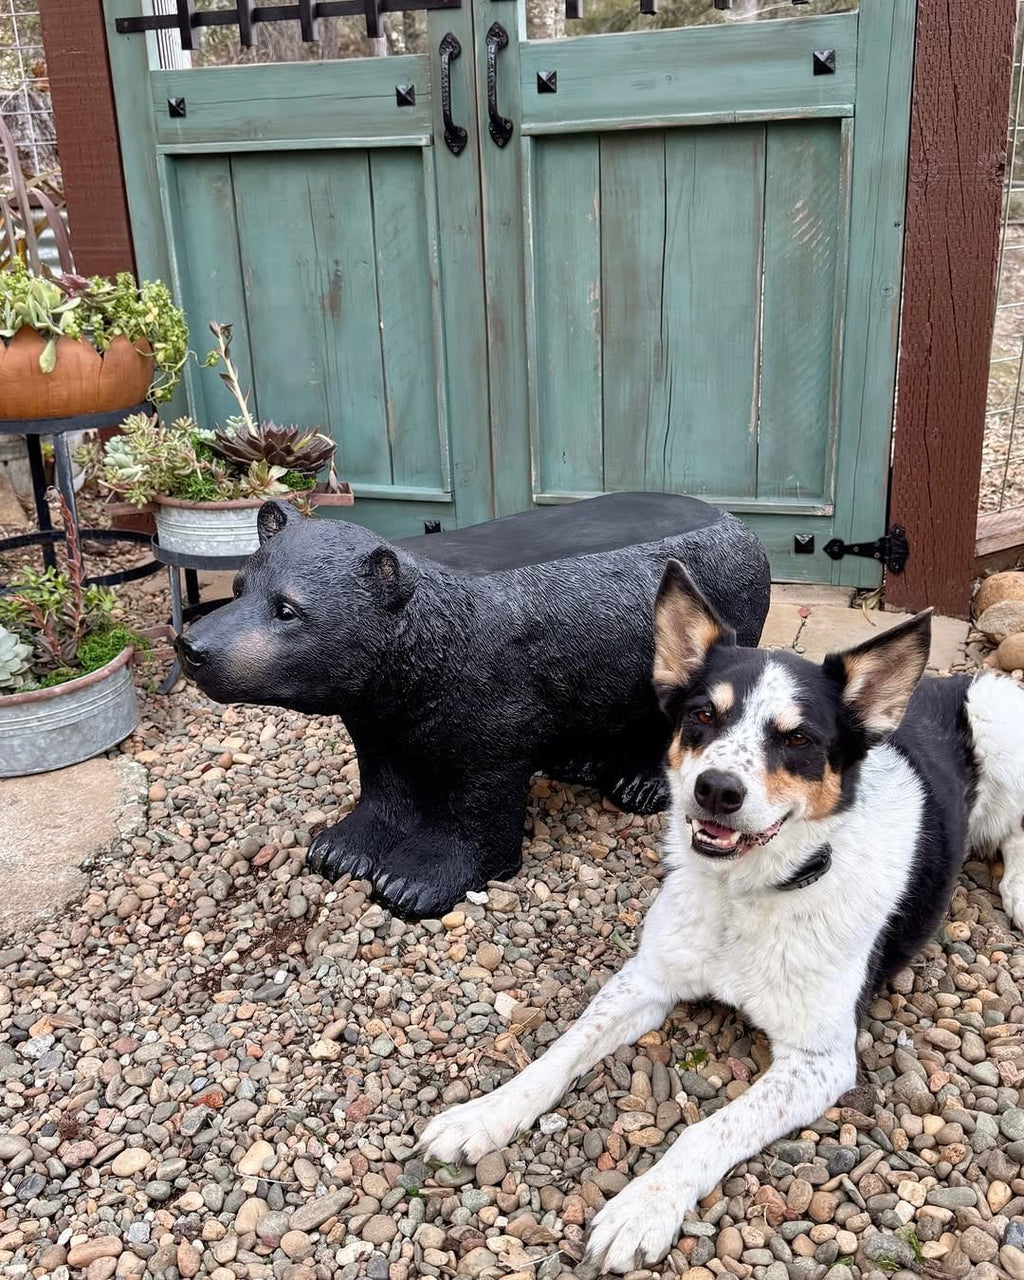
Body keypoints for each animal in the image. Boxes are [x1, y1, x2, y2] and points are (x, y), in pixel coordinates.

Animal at [176, 492, 771, 919]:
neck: (420, 650)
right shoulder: (377, 706)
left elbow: (480, 795)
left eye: (287, 609)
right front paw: (339, 849)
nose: (192, 646)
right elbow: (383, 773)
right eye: (239, 585)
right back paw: (576, 762)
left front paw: (411, 881)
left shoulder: (496, 692)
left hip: (717, 615)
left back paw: (638, 784)